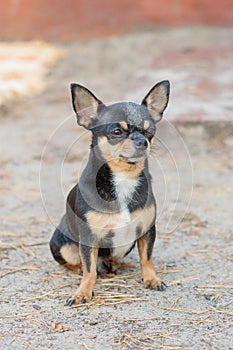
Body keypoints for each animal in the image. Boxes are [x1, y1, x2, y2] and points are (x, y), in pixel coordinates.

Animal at [49, 80, 169, 304]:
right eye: (117, 132)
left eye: (150, 131)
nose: (142, 141)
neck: (124, 178)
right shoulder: (89, 239)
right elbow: (90, 269)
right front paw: (83, 292)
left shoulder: (147, 230)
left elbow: (147, 258)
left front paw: (151, 279)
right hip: (61, 245)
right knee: (76, 263)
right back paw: (82, 269)